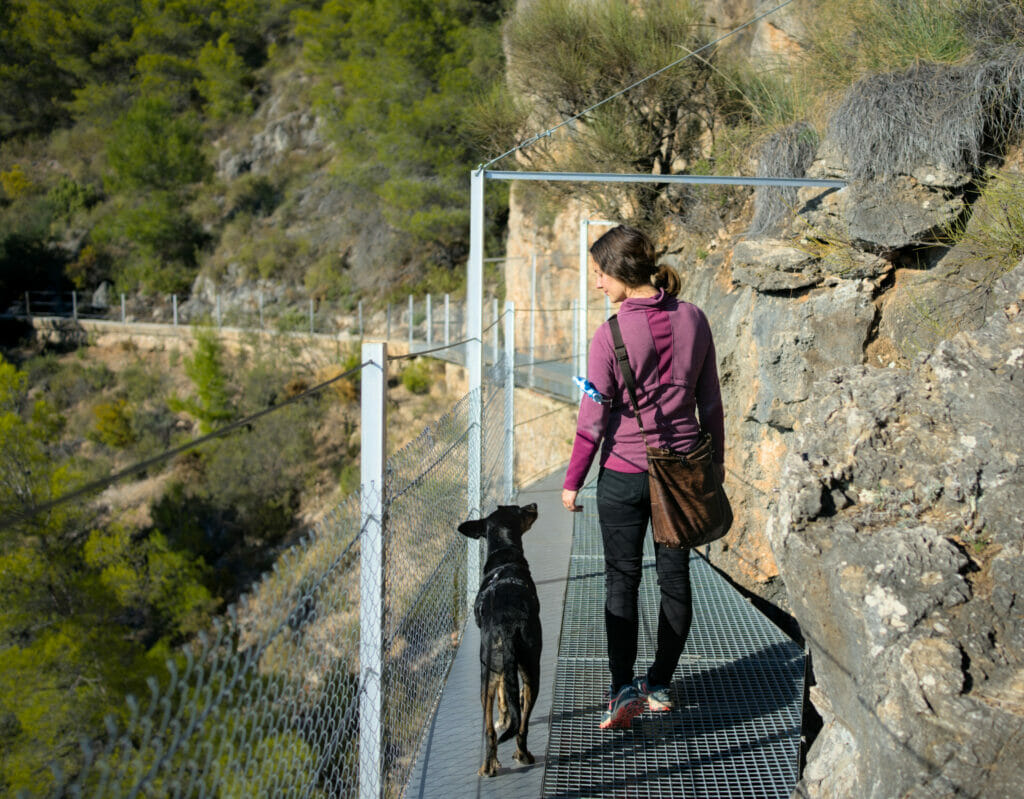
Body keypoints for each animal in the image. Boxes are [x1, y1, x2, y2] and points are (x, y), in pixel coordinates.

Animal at [460, 506, 544, 774]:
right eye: (519, 510)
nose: (534, 505)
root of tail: (507, 625)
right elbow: (511, 698)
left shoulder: (495, 671)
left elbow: (502, 696)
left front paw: (503, 717)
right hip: (531, 670)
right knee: (522, 725)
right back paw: (523, 755)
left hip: (487, 673)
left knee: (490, 731)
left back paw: (489, 765)